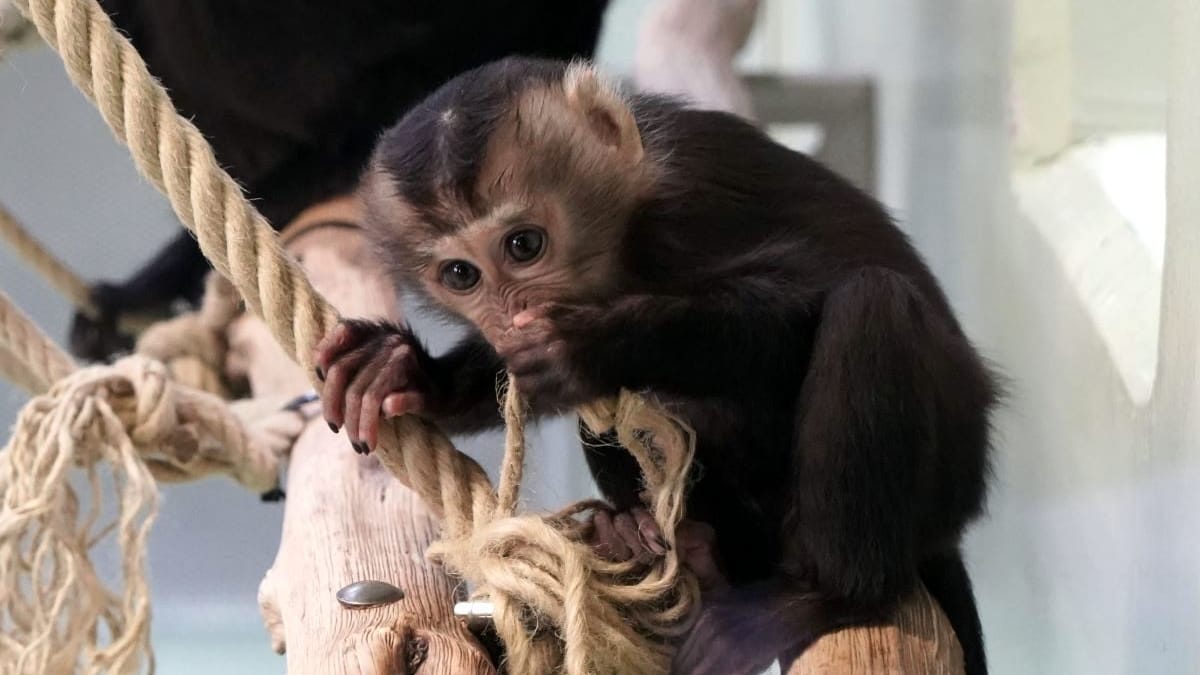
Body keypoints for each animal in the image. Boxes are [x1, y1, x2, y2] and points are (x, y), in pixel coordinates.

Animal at [314, 57, 998, 672]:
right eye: (461, 275)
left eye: (524, 244)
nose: (512, 316)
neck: (627, 240)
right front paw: (408, 374)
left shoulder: (693, 200)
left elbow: (808, 294)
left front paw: (593, 345)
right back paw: (673, 548)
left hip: (945, 481)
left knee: (872, 303)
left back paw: (824, 596)